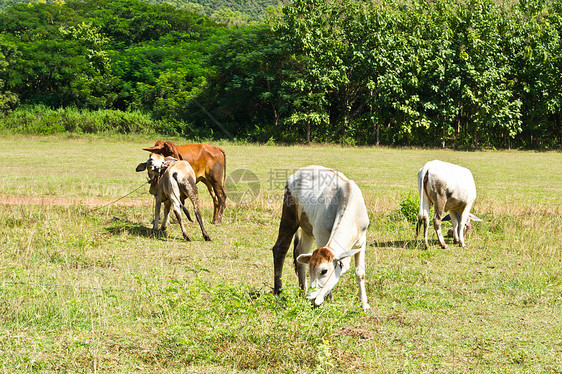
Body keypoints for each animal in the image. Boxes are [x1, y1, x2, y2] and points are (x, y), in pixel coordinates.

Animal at [270, 166, 370, 312]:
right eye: (311, 269)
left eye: (324, 271)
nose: (311, 298)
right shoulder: (321, 236)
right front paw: (329, 299)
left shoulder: (361, 242)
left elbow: (360, 273)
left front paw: (365, 305)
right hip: (289, 216)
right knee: (280, 249)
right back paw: (279, 291)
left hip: (307, 230)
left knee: (300, 252)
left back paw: (303, 290)